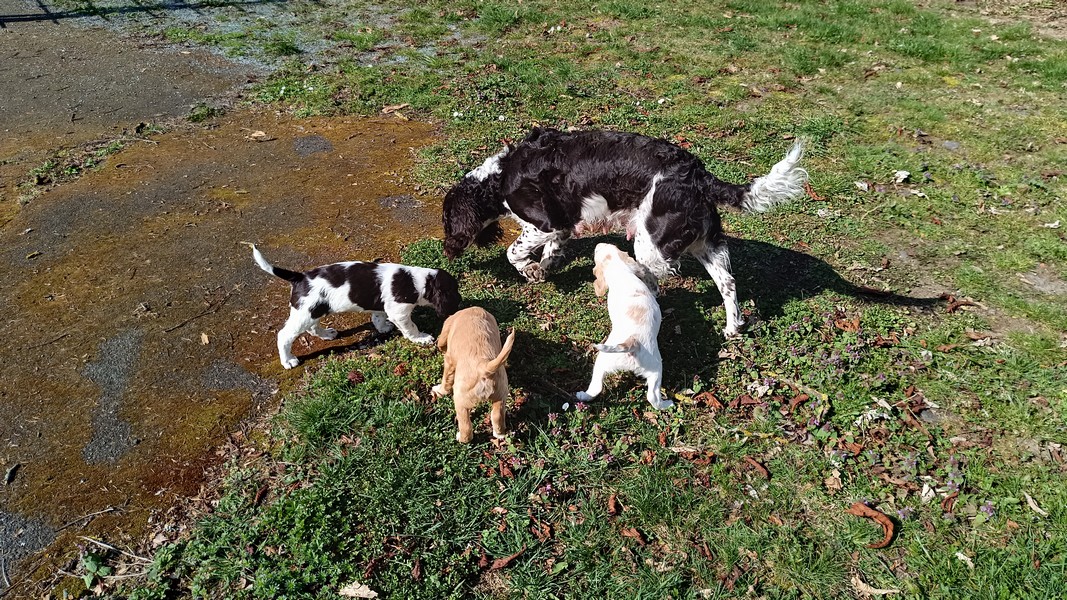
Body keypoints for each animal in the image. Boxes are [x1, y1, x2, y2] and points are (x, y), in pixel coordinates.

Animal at [248, 244, 460, 369]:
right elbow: (411, 327)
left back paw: (327, 334)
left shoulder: (382, 306)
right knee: (284, 335)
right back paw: (288, 360)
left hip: (313, 310)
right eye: (454, 292)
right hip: (305, 313)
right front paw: (421, 338)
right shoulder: (399, 312)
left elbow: (378, 316)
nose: (459, 302)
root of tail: (299, 277)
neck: (416, 281)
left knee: (313, 327)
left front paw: (383, 328)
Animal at [432, 307, 516, 443]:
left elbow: (446, 379)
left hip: (461, 400)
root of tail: (484, 366)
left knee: (466, 428)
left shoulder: (449, 361)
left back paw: (460, 437)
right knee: (497, 416)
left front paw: (439, 391)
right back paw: (499, 434)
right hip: (501, 395)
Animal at [441, 127, 807, 337]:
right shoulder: (564, 223)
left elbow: (514, 251)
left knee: (656, 275)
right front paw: (545, 268)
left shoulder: (545, 222)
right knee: (728, 283)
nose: (445, 249)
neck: (499, 177)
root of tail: (699, 175)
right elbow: (552, 250)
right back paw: (732, 328)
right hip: (707, 243)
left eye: (445, 220)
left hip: (651, 242)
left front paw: (530, 270)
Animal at [575, 243, 672, 410]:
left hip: (603, 359)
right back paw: (667, 404)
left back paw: (582, 395)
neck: (621, 271)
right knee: (653, 397)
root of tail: (632, 343)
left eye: (597, 252)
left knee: (596, 387)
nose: (599, 244)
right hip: (655, 369)